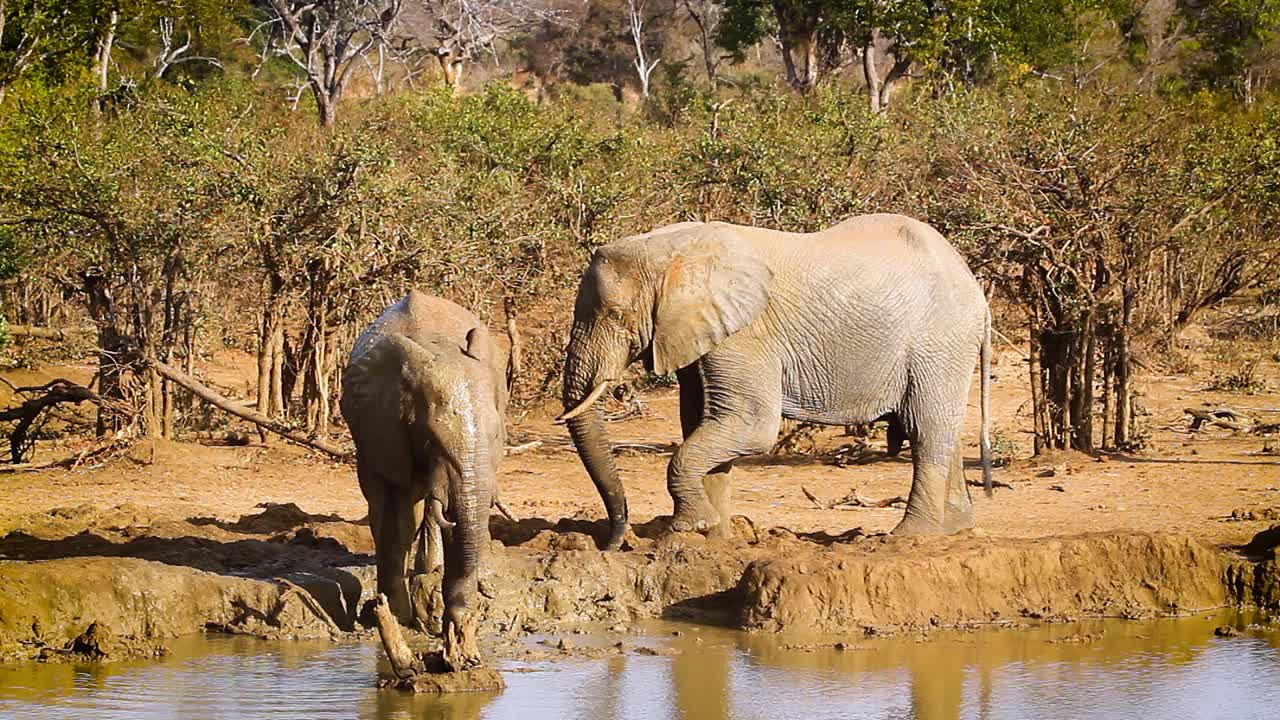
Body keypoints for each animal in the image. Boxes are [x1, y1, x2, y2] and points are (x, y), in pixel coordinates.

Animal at [343, 286, 506, 666]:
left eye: (496, 437)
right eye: (430, 439)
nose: (456, 625)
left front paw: (457, 624)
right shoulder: (385, 427)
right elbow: (399, 516)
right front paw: (398, 616)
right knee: (388, 506)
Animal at [558, 212, 988, 548]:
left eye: (615, 314)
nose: (613, 543)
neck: (676, 248)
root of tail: (975, 288)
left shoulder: (746, 335)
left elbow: (749, 425)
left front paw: (690, 528)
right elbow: (701, 422)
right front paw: (713, 540)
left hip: (940, 342)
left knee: (927, 429)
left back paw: (910, 536)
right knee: (941, 431)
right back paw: (955, 528)